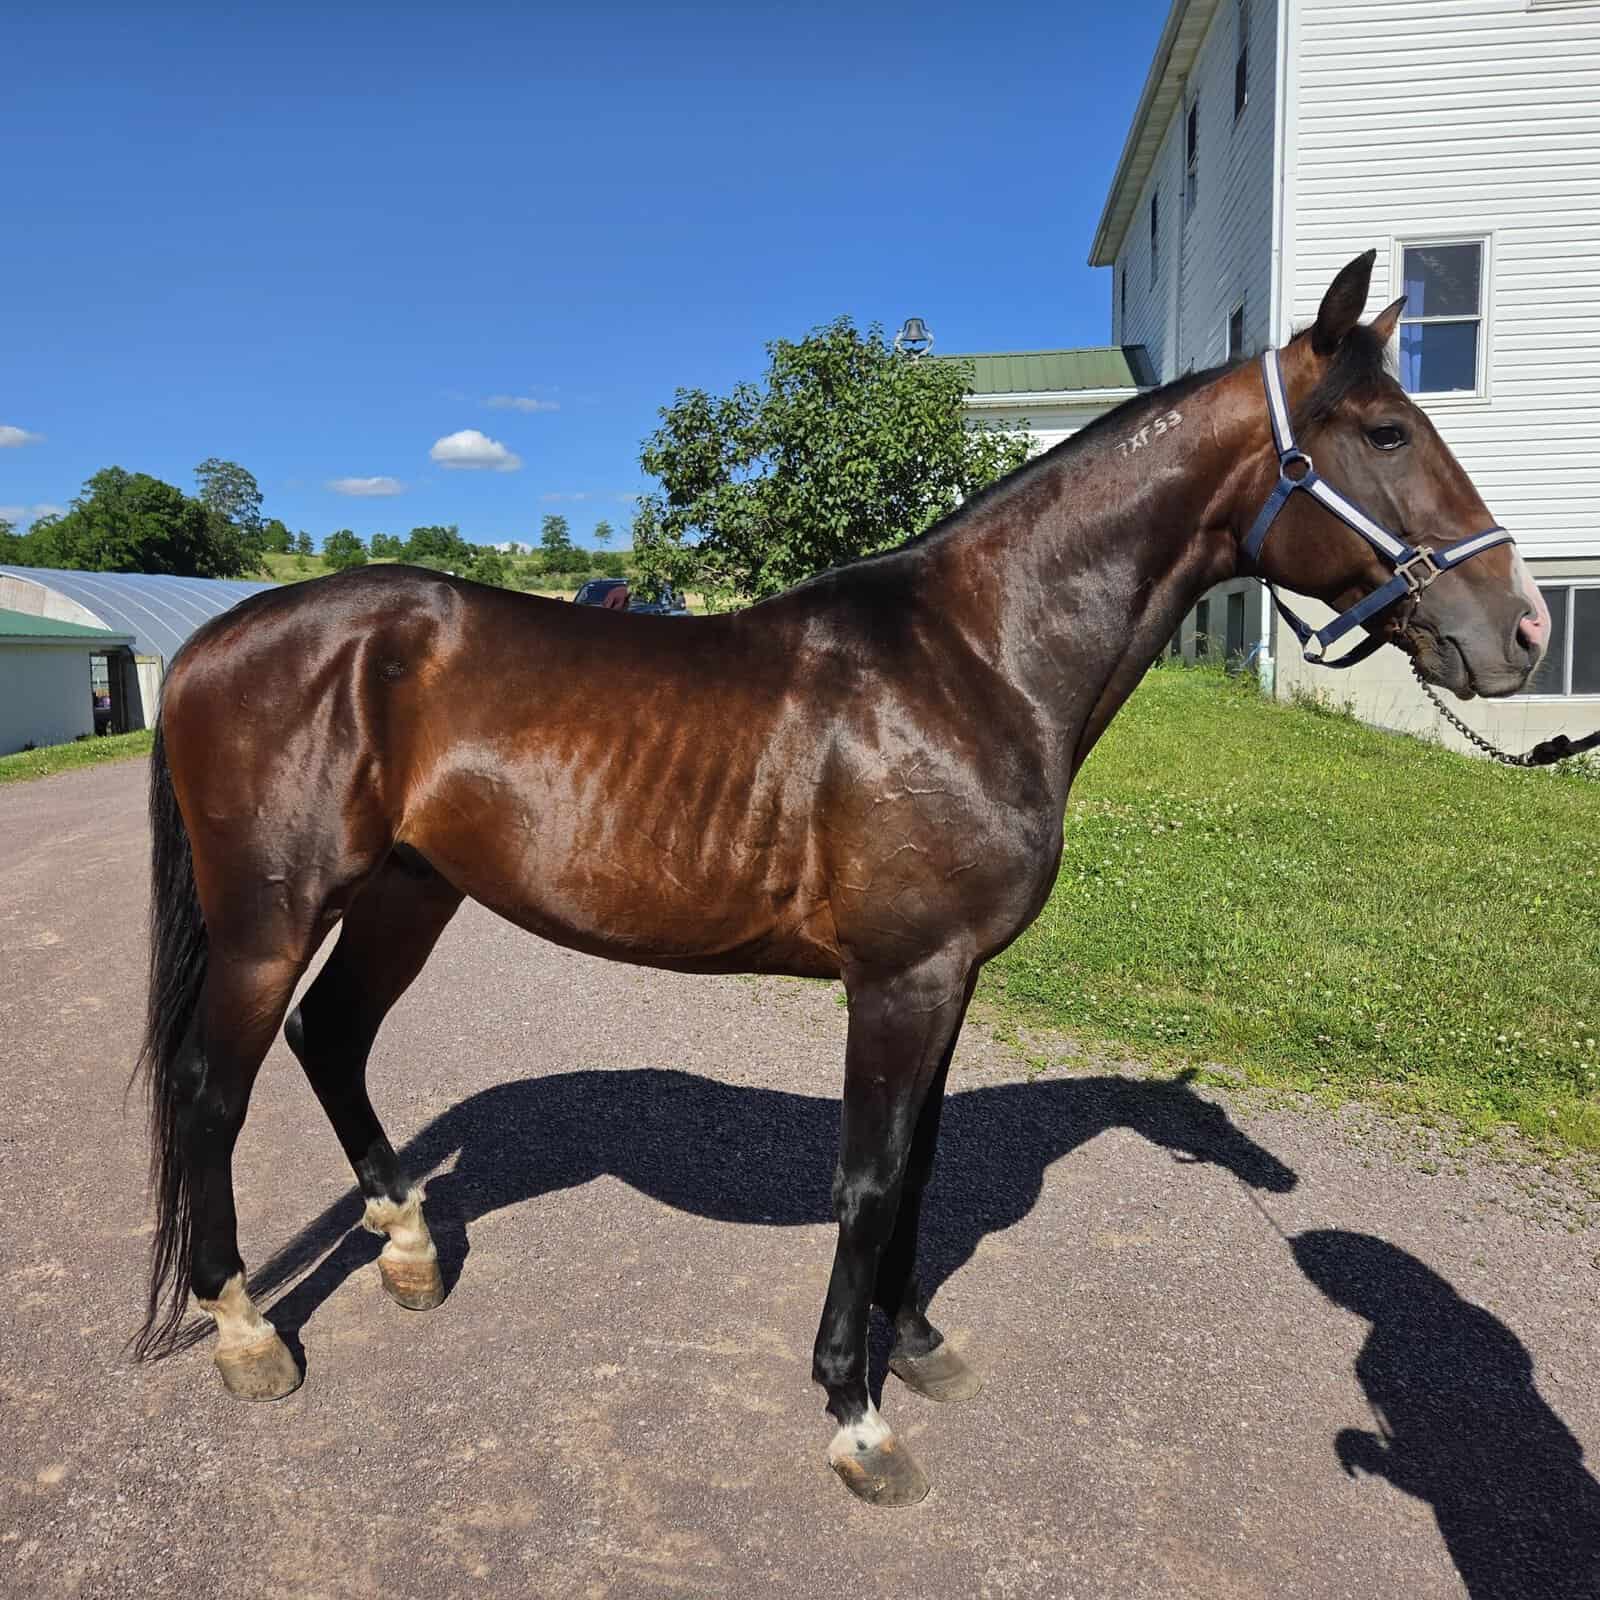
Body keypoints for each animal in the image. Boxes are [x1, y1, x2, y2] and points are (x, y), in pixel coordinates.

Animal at [133, 252, 1548, 1507]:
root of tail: (211, 641)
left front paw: (913, 1346)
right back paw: (246, 1327)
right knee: (211, 1090)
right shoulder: (898, 979)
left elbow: (916, 1166)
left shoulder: (951, 977)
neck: (975, 658)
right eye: (1383, 431)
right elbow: (866, 1182)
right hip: (271, 916)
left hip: (408, 892)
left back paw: (411, 1249)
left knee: (333, 1037)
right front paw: (853, 1413)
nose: (1523, 629)